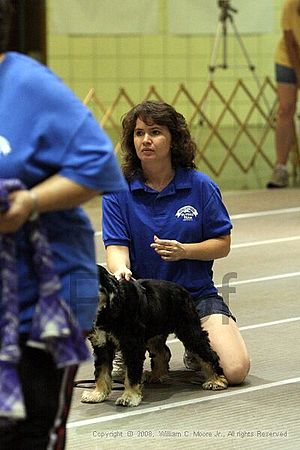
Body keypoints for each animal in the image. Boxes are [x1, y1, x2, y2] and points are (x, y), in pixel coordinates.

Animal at [81, 266, 227, 406]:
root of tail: (183, 290)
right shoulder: (101, 345)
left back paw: (216, 380)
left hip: (189, 330)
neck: (109, 309)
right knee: (162, 353)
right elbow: (101, 372)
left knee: (207, 352)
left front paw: (129, 396)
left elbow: (131, 373)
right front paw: (97, 394)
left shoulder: (132, 345)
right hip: (154, 335)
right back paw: (156, 375)